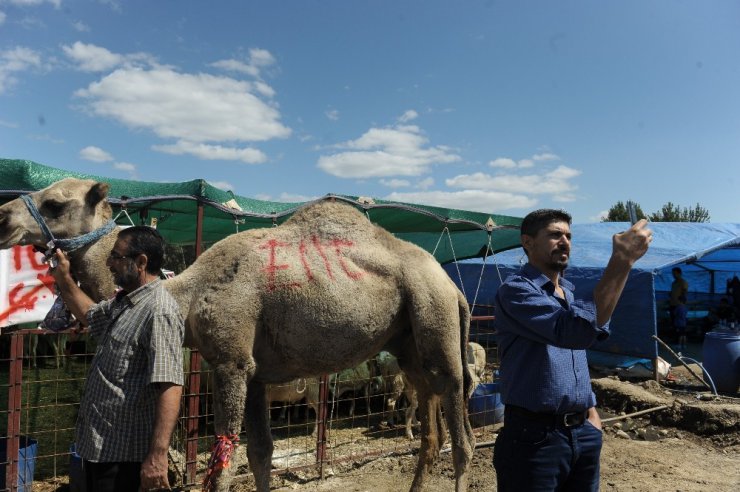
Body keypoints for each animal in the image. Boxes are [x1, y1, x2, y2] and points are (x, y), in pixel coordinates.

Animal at [0, 178, 474, 492]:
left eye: (55, 203)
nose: (3, 216)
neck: (186, 294)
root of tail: (453, 287)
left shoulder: (230, 362)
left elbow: (223, 463)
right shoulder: (258, 373)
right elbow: (260, 455)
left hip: (436, 319)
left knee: (462, 434)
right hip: (409, 343)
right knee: (430, 428)